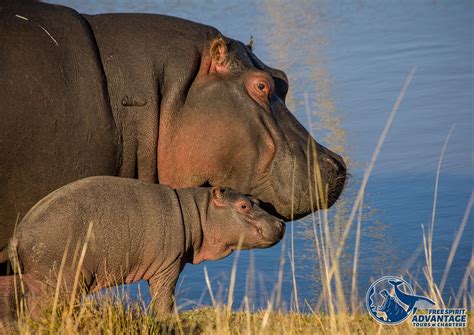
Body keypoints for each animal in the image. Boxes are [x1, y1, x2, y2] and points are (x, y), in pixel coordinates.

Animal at [4, 177, 286, 316]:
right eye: (243, 206)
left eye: (255, 200)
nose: (281, 223)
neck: (198, 213)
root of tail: (17, 236)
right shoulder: (169, 265)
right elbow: (164, 297)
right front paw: (169, 319)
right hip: (61, 279)